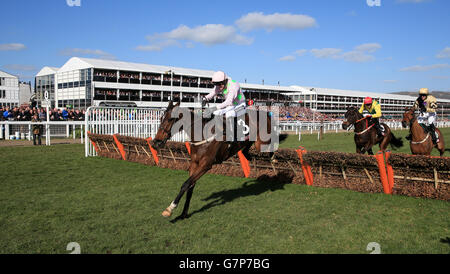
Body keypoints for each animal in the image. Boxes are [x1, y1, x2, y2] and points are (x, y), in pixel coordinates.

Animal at [151, 101, 284, 219]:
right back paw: (250, 156)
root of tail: (264, 112)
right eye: (161, 117)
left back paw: (274, 160)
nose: (155, 142)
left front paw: (170, 209)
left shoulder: (205, 165)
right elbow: (190, 186)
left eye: (170, 119)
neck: (202, 134)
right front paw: (184, 213)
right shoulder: (194, 163)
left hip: (261, 142)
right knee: (247, 150)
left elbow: (185, 184)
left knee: (271, 147)